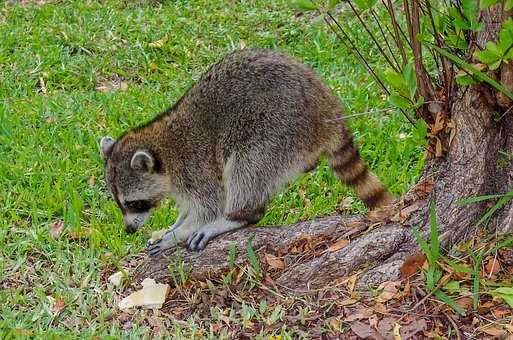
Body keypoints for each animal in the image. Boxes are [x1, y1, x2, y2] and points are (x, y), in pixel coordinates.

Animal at [102, 48, 394, 255]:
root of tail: (327, 108)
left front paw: (180, 232)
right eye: (120, 203)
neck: (161, 148)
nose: (129, 230)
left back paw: (238, 216)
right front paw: (176, 224)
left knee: (247, 164)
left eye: (133, 203)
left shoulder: (195, 165)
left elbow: (209, 205)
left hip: (279, 128)